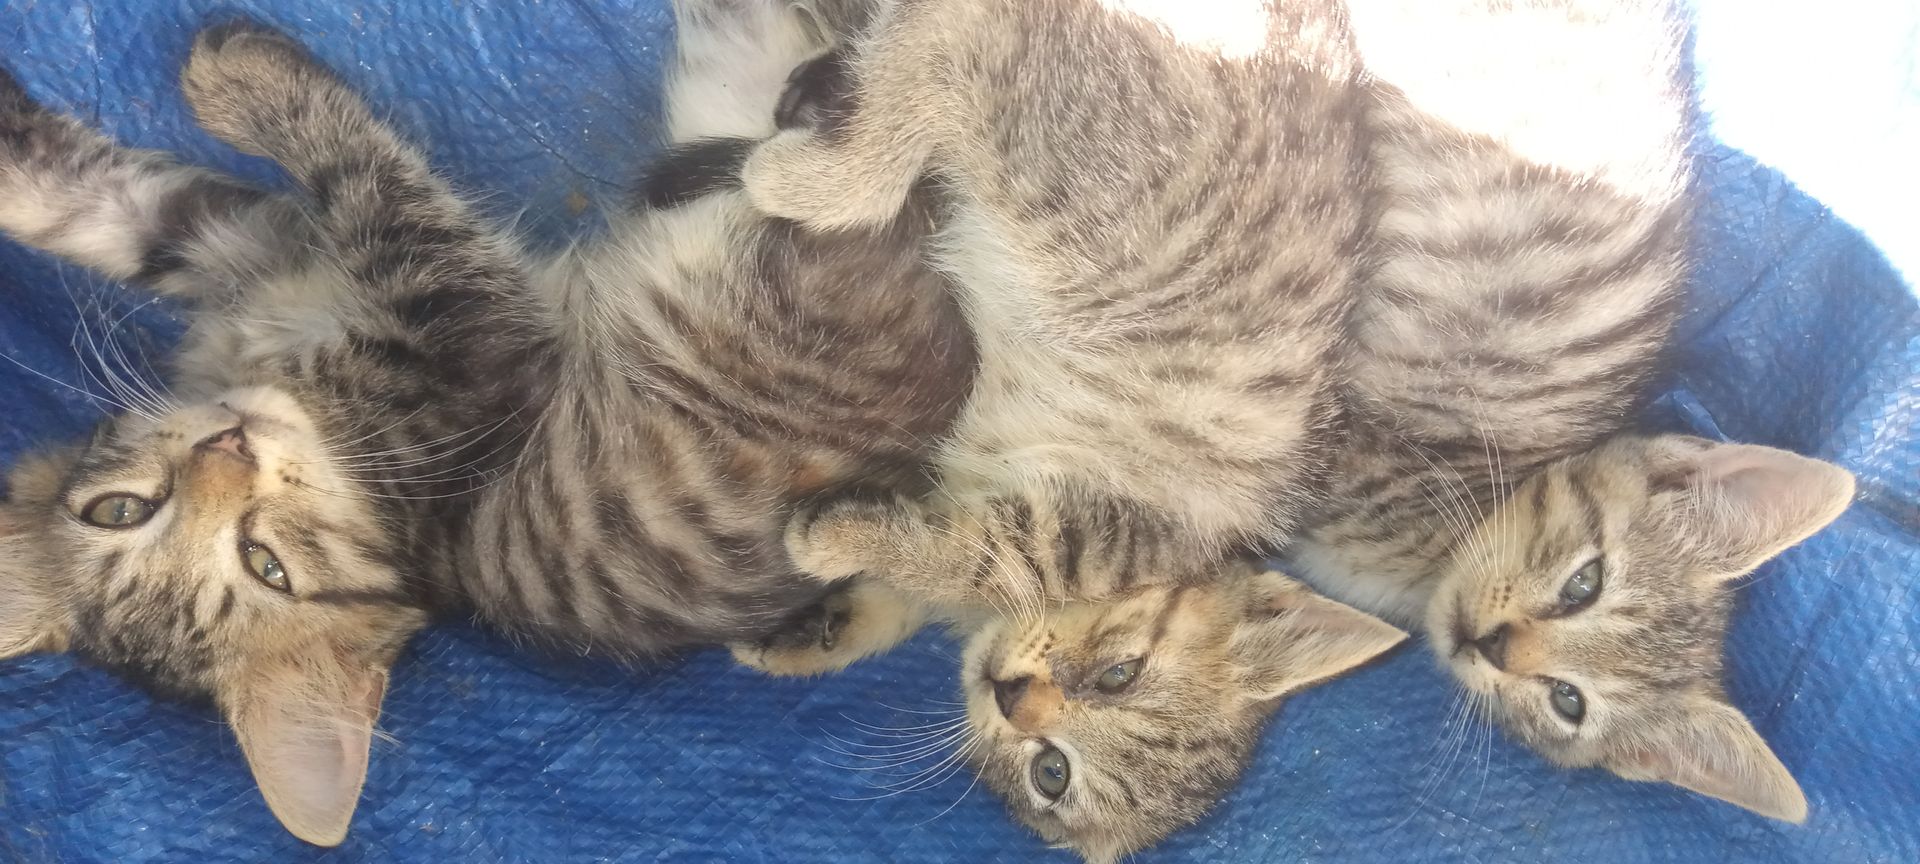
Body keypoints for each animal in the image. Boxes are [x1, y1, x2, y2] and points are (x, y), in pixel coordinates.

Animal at [0, 0, 973, 844]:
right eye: (266, 565)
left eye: (119, 509)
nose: (226, 446)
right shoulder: (470, 335)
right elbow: (366, 178)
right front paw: (244, 80)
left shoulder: (314, 267)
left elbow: (103, 204)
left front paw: (207, 87)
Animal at [733, 0, 1853, 855]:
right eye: (1586, 584)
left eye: (1566, 705)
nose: (1491, 642)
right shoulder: (1178, 502)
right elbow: (982, 550)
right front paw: (841, 547)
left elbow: (943, 563)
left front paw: (825, 611)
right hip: (1092, 156)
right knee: (954, 60)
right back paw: (813, 175)